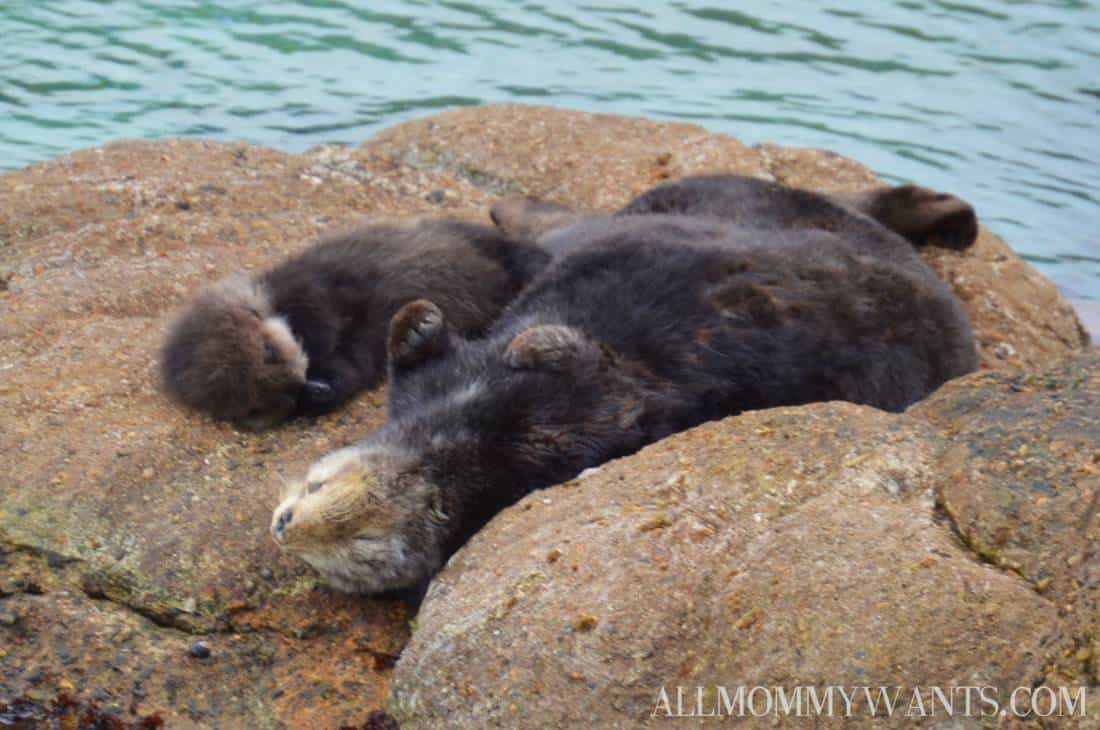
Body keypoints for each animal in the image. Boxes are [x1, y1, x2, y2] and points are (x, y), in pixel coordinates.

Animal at [158, 219, 545, 430]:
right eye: (252, 405)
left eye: (269, 352)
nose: (294, 384)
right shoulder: (352, 360)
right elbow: (346, 373)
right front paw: (314, 392)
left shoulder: (307, 285)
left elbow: (317, 310)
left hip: (467, 234)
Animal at [270, 175, 976, 593]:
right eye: (354, 543)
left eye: (319, 489)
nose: (283, 524)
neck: (458, 433)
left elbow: (587, 368)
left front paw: (510, 338)